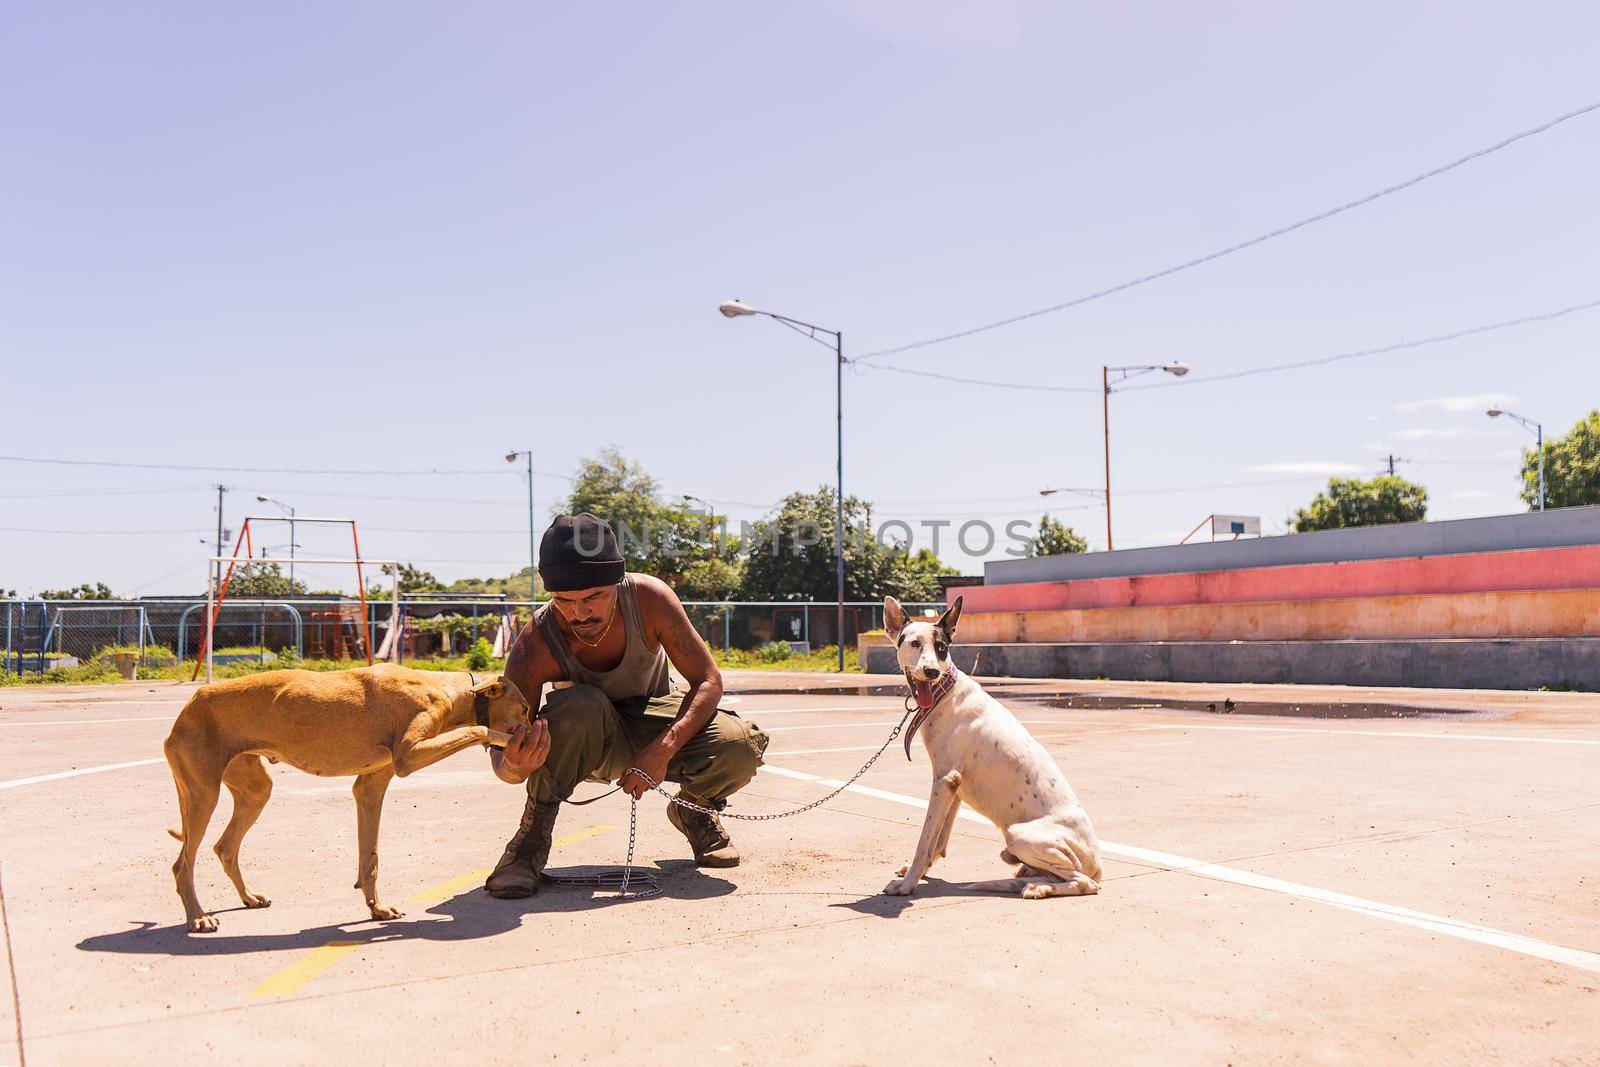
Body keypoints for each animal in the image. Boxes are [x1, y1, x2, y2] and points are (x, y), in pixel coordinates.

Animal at [167, 668, 531, 934]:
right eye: (526, 708)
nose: (535, 726)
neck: (445, 688)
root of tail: (189, 705)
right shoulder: (409, 756)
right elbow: (479, 729)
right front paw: (507, 738)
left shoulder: (370, 788)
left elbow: (370, 860)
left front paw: (377, 908)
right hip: (203, 795)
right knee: (183, 864)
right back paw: (198, 917)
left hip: (254, 790)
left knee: (225, 847)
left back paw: (248, 897)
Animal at [883, 598, 1107, 895]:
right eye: (914, 643)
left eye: (941, 648)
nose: (931, 671)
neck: (945, 692)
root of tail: (1097, 865)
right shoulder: (953, 786)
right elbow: (936, 842)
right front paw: (917, 872)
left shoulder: (944, 780)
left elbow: (924, 840)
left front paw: (908, 884)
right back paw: (1029, 877)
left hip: (1018, 834)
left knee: (1083, 883)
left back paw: (1039, 888)